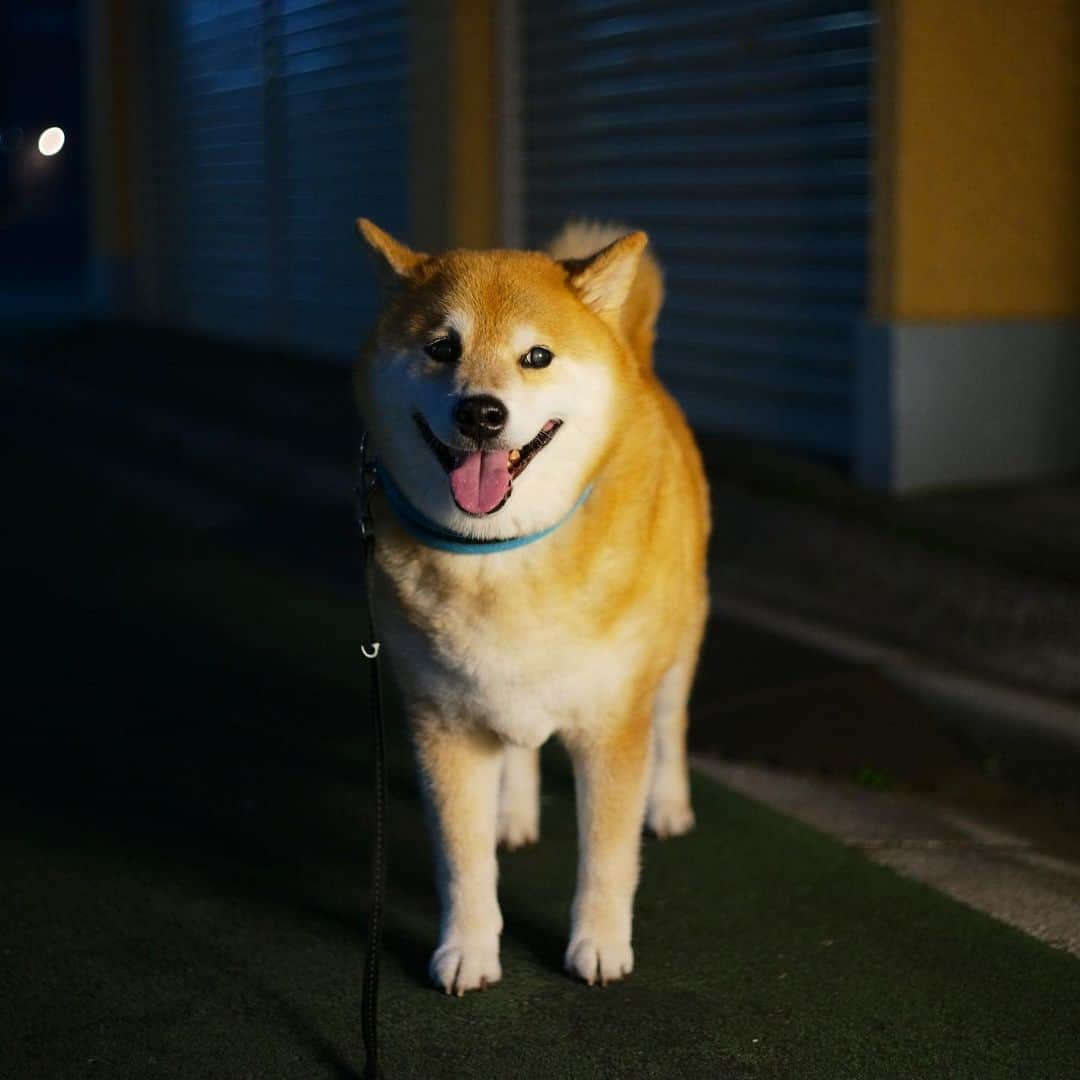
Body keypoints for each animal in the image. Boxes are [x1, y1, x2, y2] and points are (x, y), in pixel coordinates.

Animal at [354, 219, 708, 993]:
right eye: (442, 347)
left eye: (537, 356)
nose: (481, 412)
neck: (500, 555)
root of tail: (637, 359)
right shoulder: (442, 723)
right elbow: (462, 859)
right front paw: (467, 949)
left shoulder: (613, 723)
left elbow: (607, 857)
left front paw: (598, 944)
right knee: (516, 746)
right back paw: (513, 813)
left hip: (677, 647)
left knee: (672, 724)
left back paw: (668, 804)